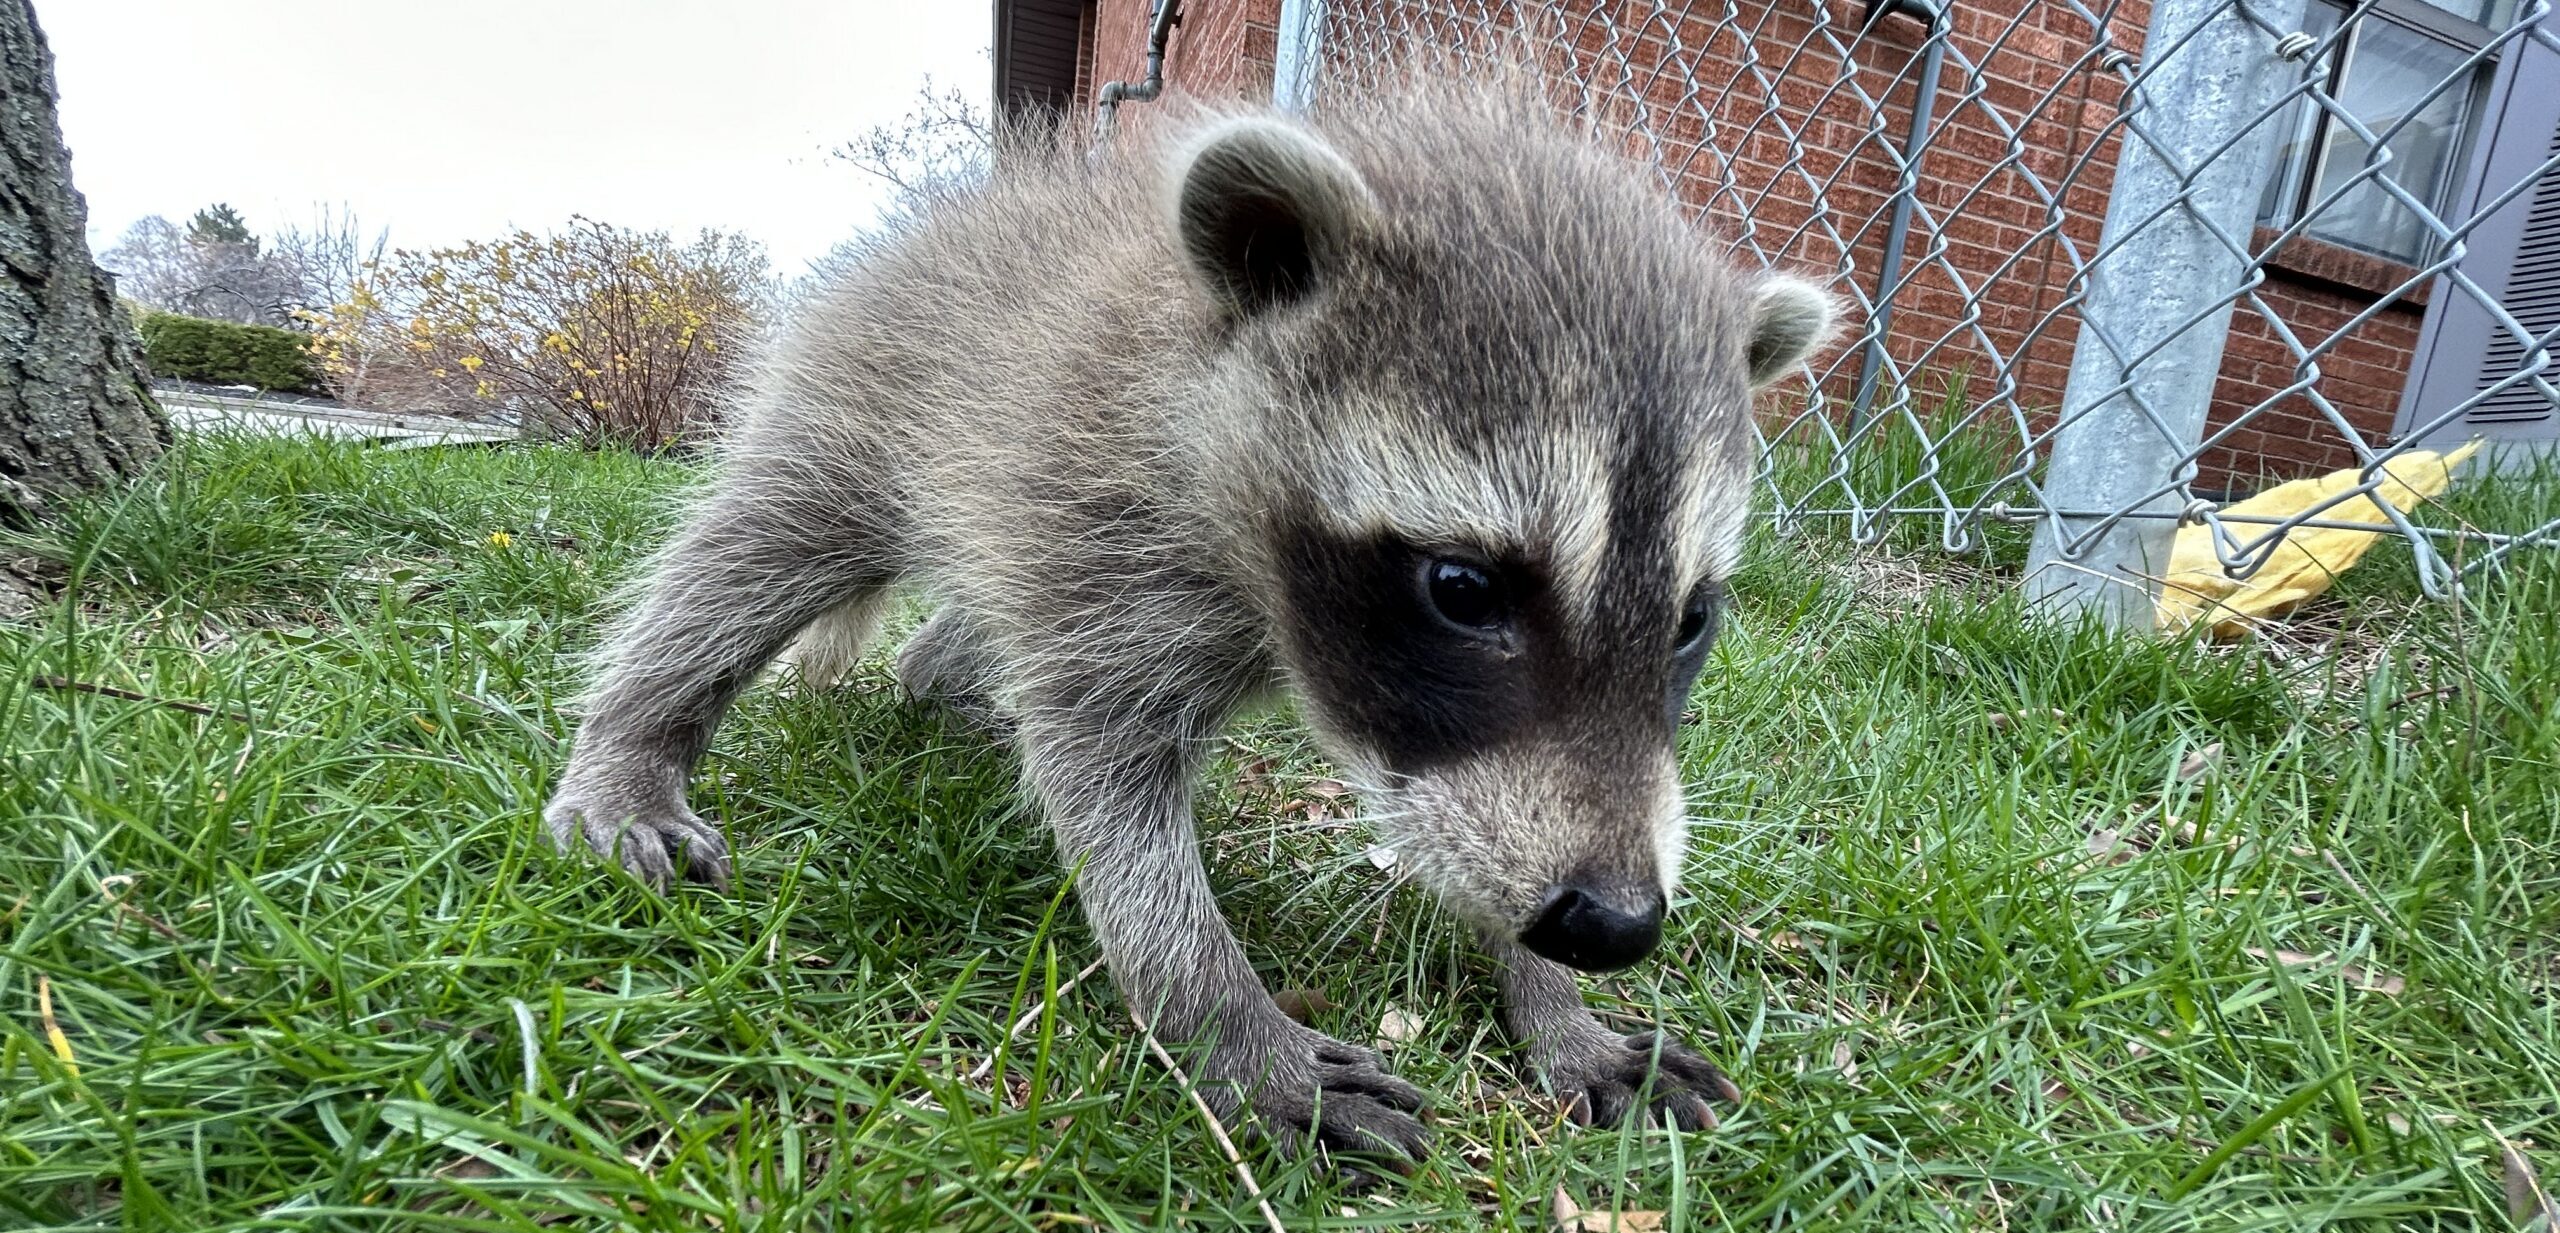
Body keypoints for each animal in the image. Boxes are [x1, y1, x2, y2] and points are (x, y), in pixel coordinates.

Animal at [541, 81, 1834, 1164]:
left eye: (1691, 618)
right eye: (1463, 589)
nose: (1612, 925)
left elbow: (1480, 825)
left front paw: (1551, 1004)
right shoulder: (1101, 517)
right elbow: (1106, 786)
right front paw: (1222, 1014)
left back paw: (942, 683)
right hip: (868, 392)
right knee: (750, 558)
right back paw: (637, 738)